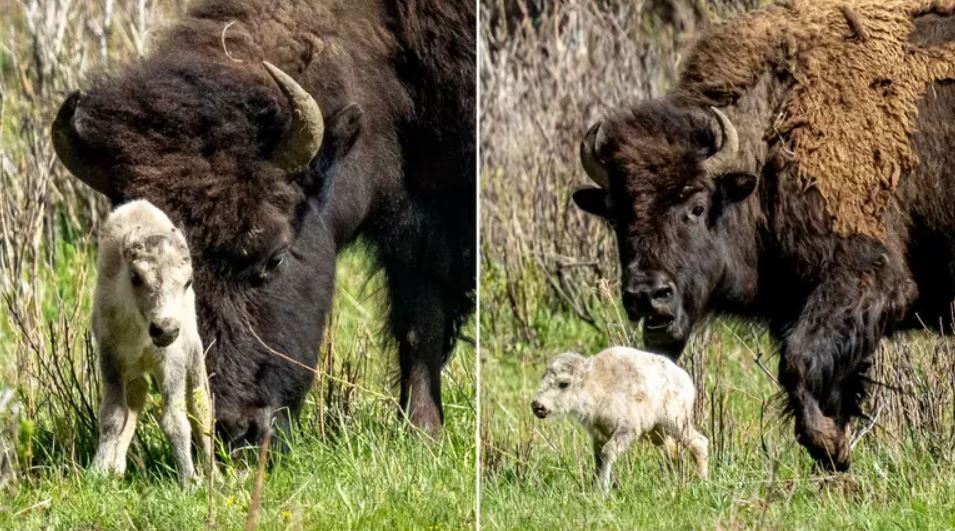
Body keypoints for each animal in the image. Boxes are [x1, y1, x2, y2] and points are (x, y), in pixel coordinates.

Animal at [50, 1, 476, 444]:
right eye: (137, 274)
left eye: (275, 258)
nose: (234, 428)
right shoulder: (416, 227)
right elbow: (418, 324)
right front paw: (422, 432)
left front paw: (421, 433)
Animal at [91, 200, 211, 486]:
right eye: (136, 277)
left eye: (188, 281)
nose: (164, 329)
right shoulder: (110, 356)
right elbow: (113, 414)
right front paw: (98, 470)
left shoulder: (171, 362)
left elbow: (175, 420)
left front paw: (189, 480)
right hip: (134, 369)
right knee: (137, 396)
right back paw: (117, 467)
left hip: (194, 355)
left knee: (201, 407)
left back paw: (217, 473)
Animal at [532, 348, 708, 492]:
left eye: (564, 384)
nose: (537, 405)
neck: (595, 384)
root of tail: (686, 380)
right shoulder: (598, 436)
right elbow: (598, 459)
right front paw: (595, 487)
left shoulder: (627, 429)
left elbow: (608, 452)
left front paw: (604, 489)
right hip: (659, 433)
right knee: (673, 453)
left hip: (675, 423)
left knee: (699, 442)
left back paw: (702, 482)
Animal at [572, 3, 955, 470]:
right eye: (615, 216)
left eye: (697, 207)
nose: (648, 295)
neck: (774, 134)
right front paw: (833, 452)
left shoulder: (867, 278)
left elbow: (798, 362)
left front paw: (829, 445)